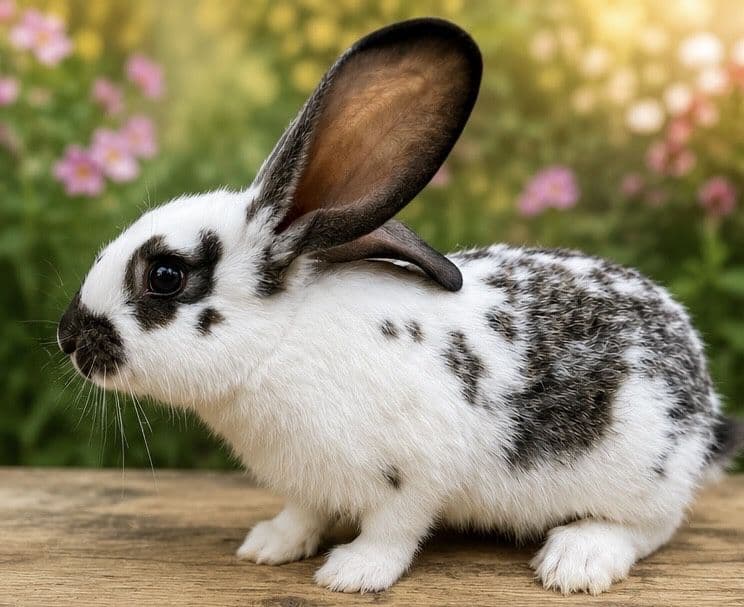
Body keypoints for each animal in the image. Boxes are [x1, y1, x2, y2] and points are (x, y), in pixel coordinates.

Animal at [57, 18, 743, 595]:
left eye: (166, 276)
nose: (68, 336)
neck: (280, 342)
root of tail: (705, 406)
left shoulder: (414, 474)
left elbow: (394, 528)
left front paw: (352, 574)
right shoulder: (309, 481)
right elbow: (303, 512)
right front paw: (269, 546)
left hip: (642, 471)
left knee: (650, 527)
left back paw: (575, 560)